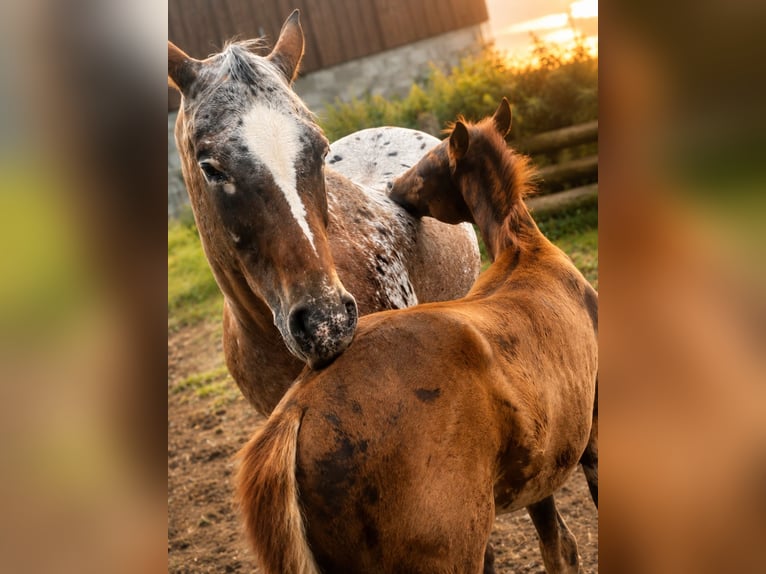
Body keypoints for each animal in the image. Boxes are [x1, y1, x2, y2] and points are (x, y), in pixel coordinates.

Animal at [236, 99, 598, 573]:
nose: (395, 188)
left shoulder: (540, 469)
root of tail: (298, 408)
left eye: (431, 162)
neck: (524, 251)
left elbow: (559, 546)